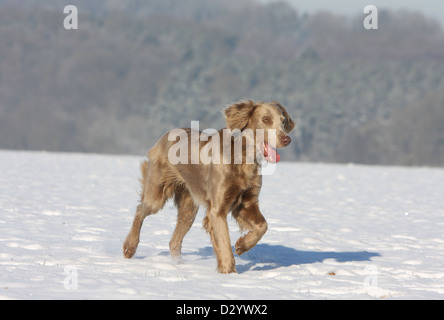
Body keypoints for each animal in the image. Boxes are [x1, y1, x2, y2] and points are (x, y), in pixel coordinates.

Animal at [122, 99, 294, 272]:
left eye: (282, 121)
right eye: (266, 120)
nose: (287, 140)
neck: (243, 157)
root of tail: (166, 135)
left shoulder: (246, 203)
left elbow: (262, 226)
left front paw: (242, 245)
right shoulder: (217, 210)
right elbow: (224, 244)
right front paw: (229, 272)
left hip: (189, 208)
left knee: (174, 240)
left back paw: (179, 265)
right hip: (157, 193)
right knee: (140, 210)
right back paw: (129, 247)